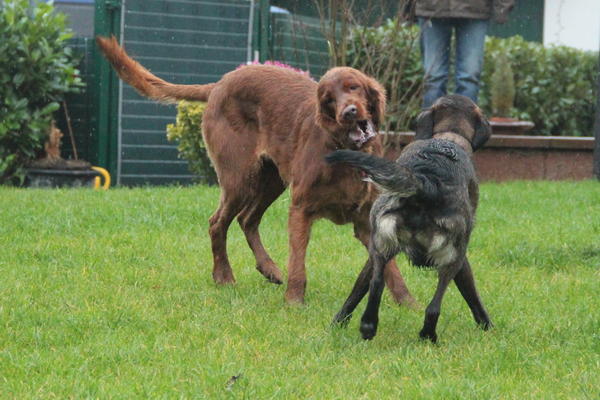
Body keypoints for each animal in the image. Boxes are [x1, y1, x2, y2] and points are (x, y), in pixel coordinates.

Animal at [96, 36, 414, 304]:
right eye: (328, 99)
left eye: (353, 87)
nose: (348, 112)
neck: (349, 154)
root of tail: (219, 83)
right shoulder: (301, 207)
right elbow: (298, 261)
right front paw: (294, 302)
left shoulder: (366, 220)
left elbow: (391, 269)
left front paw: (407, 303)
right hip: (240, 177)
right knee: (218, 222)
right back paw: (224, 276)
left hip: (271, 179)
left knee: (247, 219)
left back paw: (269, 268)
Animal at [328, 94, 492, 344]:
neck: (447, 138)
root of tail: (427, 181)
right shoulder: (462, 260)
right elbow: (472, 295)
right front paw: (488, 326)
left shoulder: (376, 250)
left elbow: (358, 289)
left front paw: (339, 322)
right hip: (452, 257)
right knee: (434, 306)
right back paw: (428, 336)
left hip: (381, 245)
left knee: (376, 285)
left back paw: (368, 326)